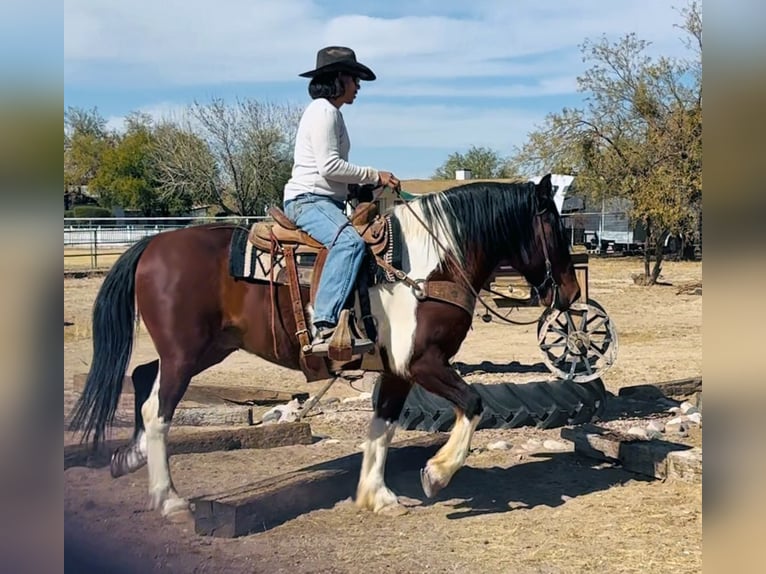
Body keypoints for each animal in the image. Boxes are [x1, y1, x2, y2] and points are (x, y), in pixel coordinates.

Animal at [68, 173, 580, 521]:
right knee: (158, 409)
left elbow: (383, 428)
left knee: (141, 377)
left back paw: (128, 458)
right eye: (556, 228)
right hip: (186, 353)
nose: (572, 293)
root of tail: (153, 245)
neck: (431, 265)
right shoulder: (423, 362)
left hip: (206, 348)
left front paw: (377, 495)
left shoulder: (396, 370)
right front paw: (435, 474)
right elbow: (473, 403)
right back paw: (168, 497)